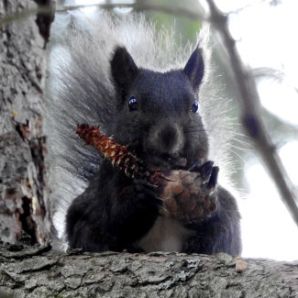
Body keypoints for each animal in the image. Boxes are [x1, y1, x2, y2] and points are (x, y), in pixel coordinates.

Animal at [47, 12, 242, 255]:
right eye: (132, 103)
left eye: (195, 106)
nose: (168, 136)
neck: (160, 172)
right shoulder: (107, 185)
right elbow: (116, 216)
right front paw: (140, 197)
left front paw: (206, 177)